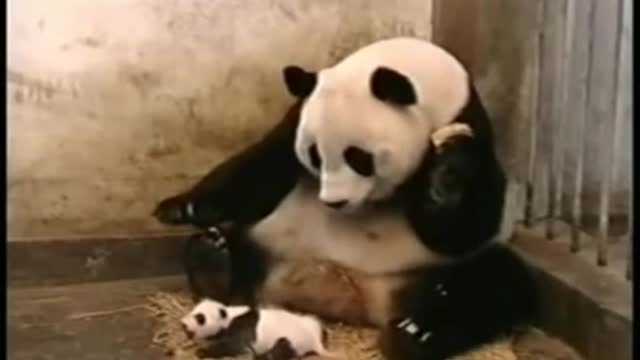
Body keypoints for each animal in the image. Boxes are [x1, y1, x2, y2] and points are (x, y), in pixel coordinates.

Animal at [181, 298, 336, 360]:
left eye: (200, 318)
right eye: (193, 310)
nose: (183, 324)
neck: (229, 316)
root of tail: (315, 341)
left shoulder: (240, 329)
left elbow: (234, 346)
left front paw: (202, 352)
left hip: (293, 340)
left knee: (279, 350)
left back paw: (262, 356)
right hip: (311, 321)